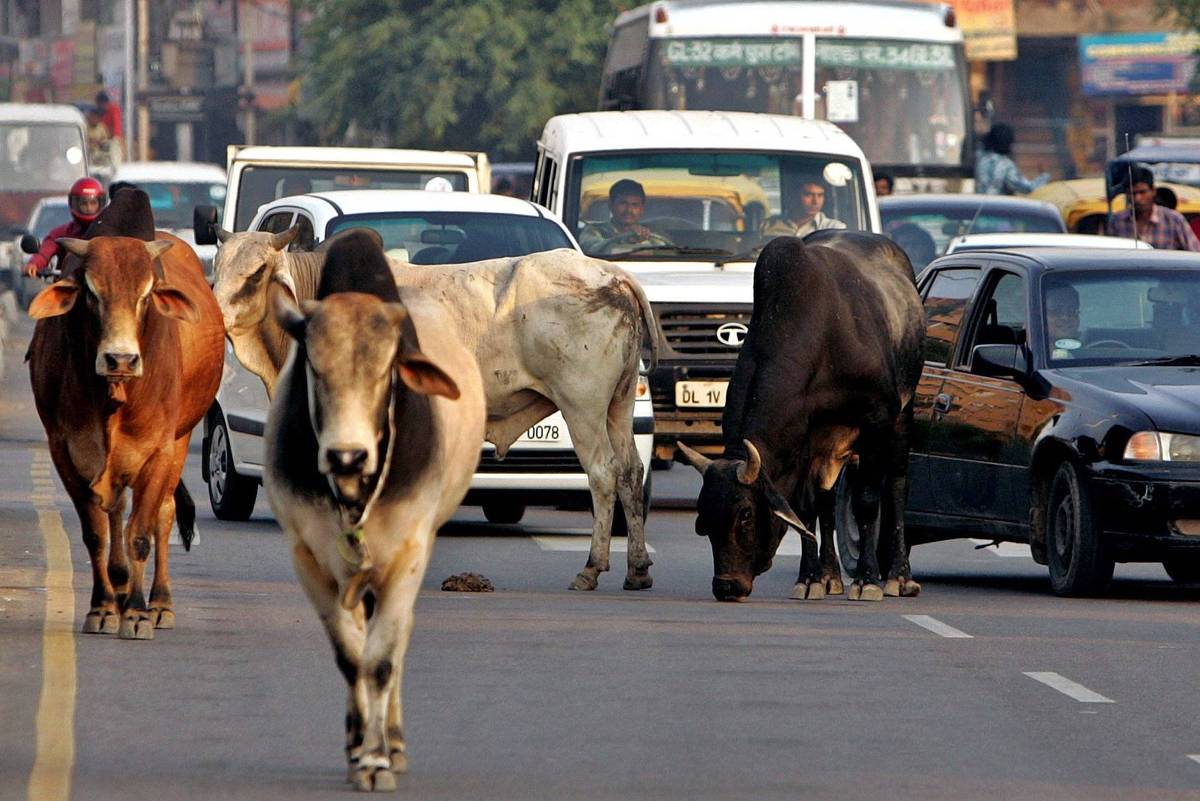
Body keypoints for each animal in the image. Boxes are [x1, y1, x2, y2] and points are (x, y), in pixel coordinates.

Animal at [28, 231, 224, 637]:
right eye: (91, 293)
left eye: (146, 294)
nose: (121, 359)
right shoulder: (65, 451)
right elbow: (96, 533)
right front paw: (103, 607)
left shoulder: (159, 451)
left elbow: (140, 534)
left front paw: (136, 613)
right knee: (116, 510)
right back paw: (118, 588)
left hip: (180, 441)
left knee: (163, 514)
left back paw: (160, 603)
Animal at [213, 227, 657, 592]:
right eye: (217, 268)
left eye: (256, 273)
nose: (216, 317)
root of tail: (610, 274)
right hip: (618, 406)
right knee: (631, 472)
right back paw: (637, 569)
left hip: (582, 406)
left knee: (603, 474)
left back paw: (592, 568)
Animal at [681, 231, 921, 599]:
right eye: (704, 518)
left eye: (746, 514)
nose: (726, 586)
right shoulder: (805, 440)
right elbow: (805, 510)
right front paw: (811, 578)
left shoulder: (877, 421)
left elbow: (867, 501)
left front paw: (867, 579)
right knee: (825, 501)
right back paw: (830, 575)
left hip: (902, 417)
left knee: (895, 485)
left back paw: (899, 576)